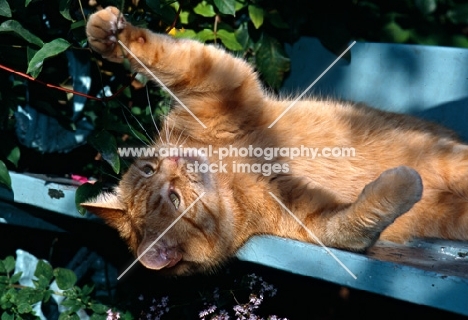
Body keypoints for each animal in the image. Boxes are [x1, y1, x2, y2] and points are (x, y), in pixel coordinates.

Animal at [83, 5, 468, 276]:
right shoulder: (313, 219)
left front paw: (111, 34)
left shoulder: (217, 82)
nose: (174, 162)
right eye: (174, 199)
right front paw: (401, 185)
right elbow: (355, 220)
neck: (228, 171)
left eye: (149, 169)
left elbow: (167, 55)